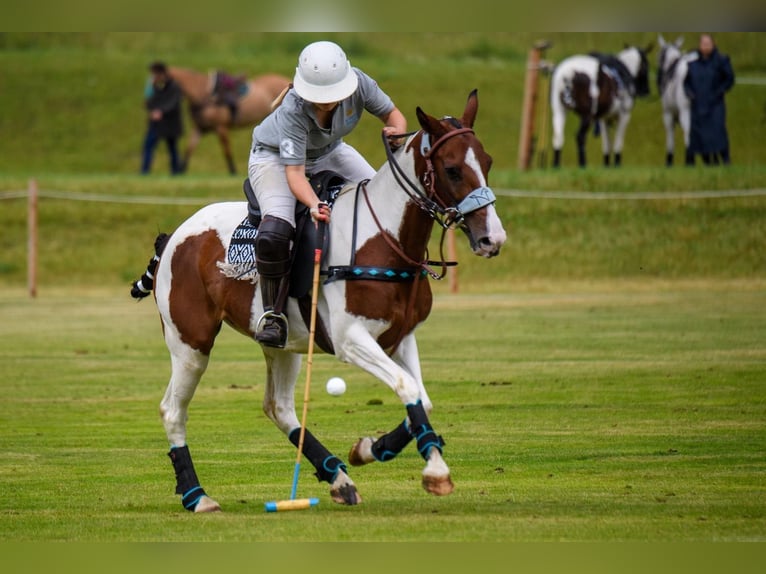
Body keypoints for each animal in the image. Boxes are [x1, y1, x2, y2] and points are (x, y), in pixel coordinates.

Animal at [130, 90, 508, 512]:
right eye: (452, 169)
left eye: (488, 161)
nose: (492, 238)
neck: (384, 240)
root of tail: (175, 235)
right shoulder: (350, 339)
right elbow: (407, 388)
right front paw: (435, 473)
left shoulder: (400, 335)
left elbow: (421, 400)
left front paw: (369, 449)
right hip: (190, 341)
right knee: (173, 410)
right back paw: (197, 496)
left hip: (284, 343)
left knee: (278, 406)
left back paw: (337, 476)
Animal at [656, 35, 696, 166]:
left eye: (660, 57)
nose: (659, 80)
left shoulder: (668, 114)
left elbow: (670, 137)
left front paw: (669, 160)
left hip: (685, 110)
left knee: (688, 130)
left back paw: (689, 160)